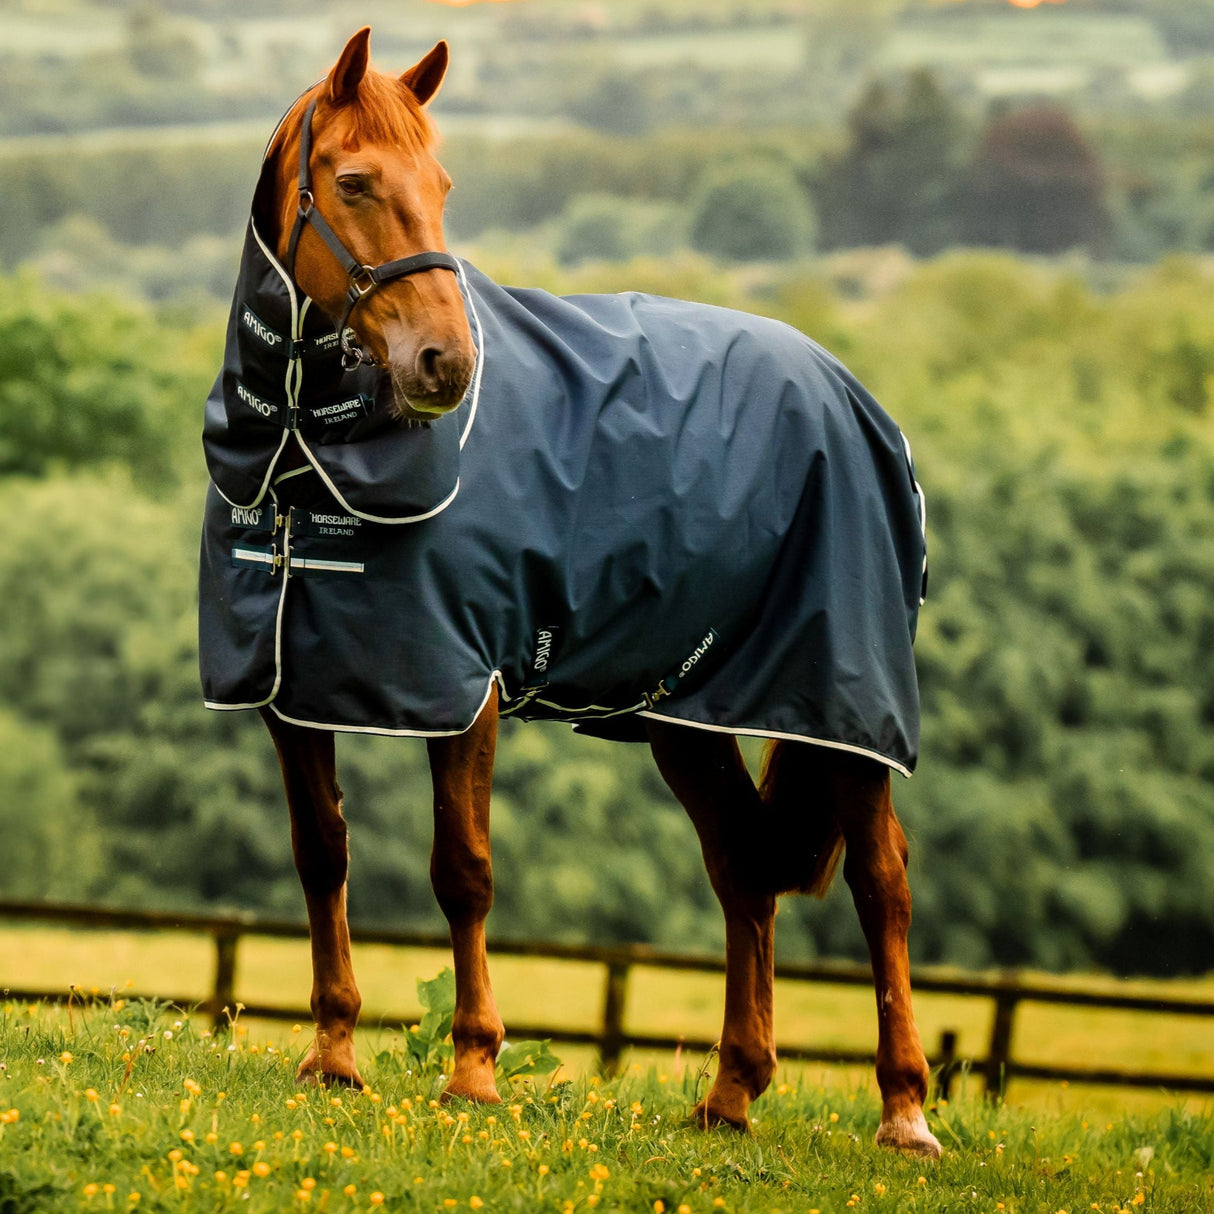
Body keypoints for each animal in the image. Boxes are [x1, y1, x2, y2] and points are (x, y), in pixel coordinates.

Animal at [201, 27, 941, 1158]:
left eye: (443, 186)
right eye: (356, 181)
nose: (445, 365)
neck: (302, 462)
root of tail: (854, 397)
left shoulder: (463, 690)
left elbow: (461, 869)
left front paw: (473, 1069)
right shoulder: (292, 689)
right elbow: (321, 855)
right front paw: (332, 1055)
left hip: (841, 706)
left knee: (881, 882)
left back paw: (904, 1110)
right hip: (688, 714)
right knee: (742, 868)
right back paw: (731, 1093)